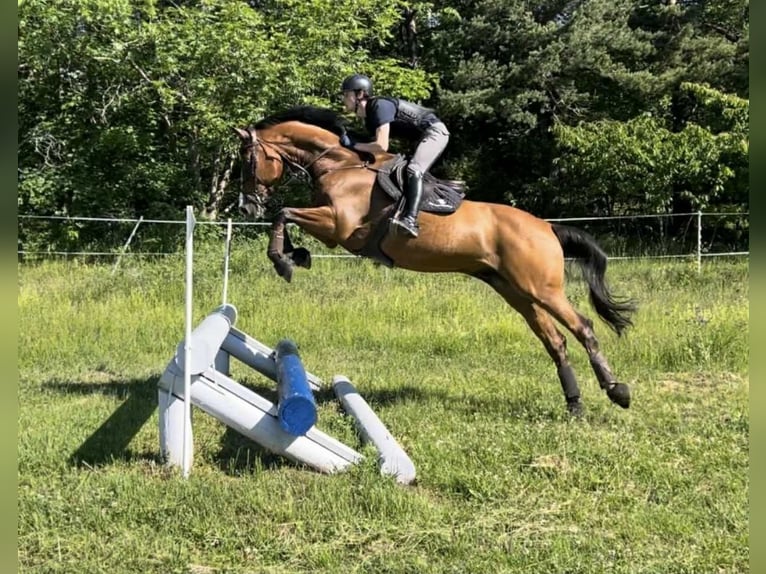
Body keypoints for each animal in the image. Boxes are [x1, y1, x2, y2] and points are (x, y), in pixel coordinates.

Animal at [233, 106, 637, 416]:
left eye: (248, 161)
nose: (246, 207)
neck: (339, 166)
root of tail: (548, 227)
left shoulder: (338, 227)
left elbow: (284, 212)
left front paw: (284, 260)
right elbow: (286, 215)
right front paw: (295, 255)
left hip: (541, 288)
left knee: (583, 327)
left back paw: (617, 390)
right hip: (515, 291)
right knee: (555, 341)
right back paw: (575, 404)